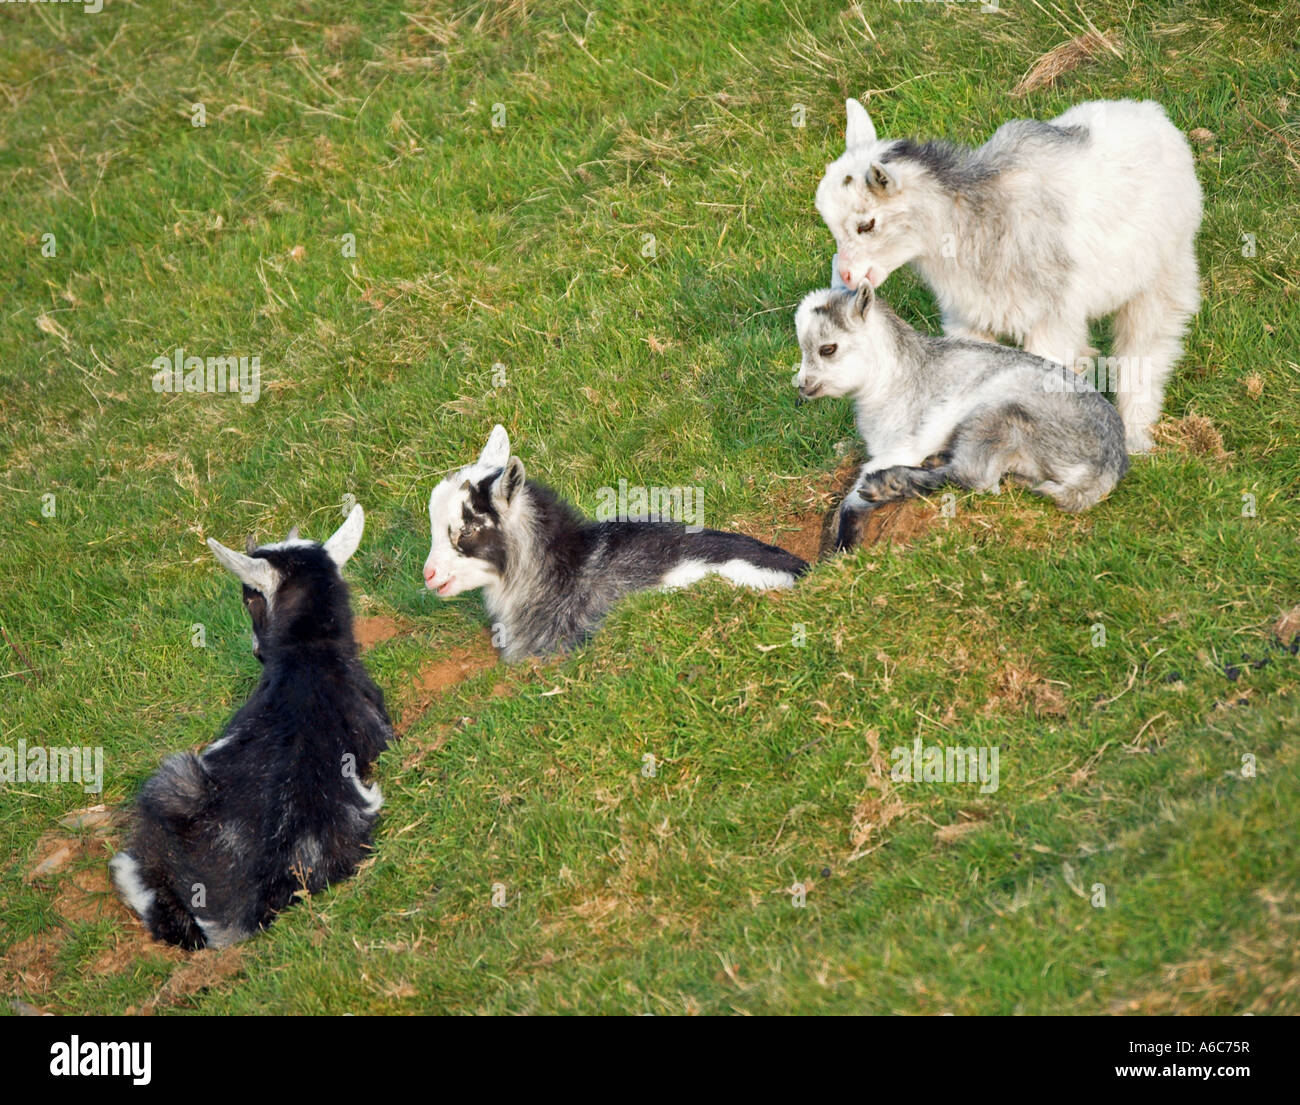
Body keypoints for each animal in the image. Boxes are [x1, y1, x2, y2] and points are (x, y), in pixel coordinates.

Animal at [790, 284, 1128, 551]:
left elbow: (852, 499)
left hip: (998, 413)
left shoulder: (904, 444)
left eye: (828, 349)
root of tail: (1105, 465)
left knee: (974, 476)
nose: (802, 385)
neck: (897, 376)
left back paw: (890, 484)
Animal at [816, 98, 1201, 452]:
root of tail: (1149, 112)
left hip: (1167, 269)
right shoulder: (968, 320)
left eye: (866, 224)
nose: (847, 276)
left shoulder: (1052, 322)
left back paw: (1136, 433)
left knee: (1147, 347)